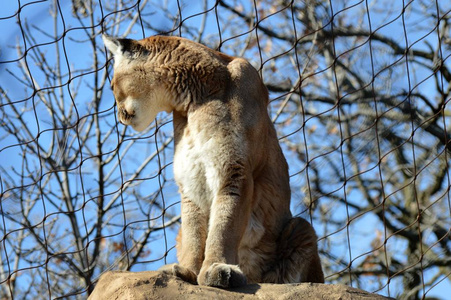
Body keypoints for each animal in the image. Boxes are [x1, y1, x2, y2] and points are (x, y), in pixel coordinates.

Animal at [102, 34, 324, 288]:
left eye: (112, 86)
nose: (119, 117)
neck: (195, 99)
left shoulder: (234, 170)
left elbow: (224, 225)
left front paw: (217, 267)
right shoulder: (191, 178)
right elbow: (193, 232)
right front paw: (188, 271)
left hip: (301, 228)